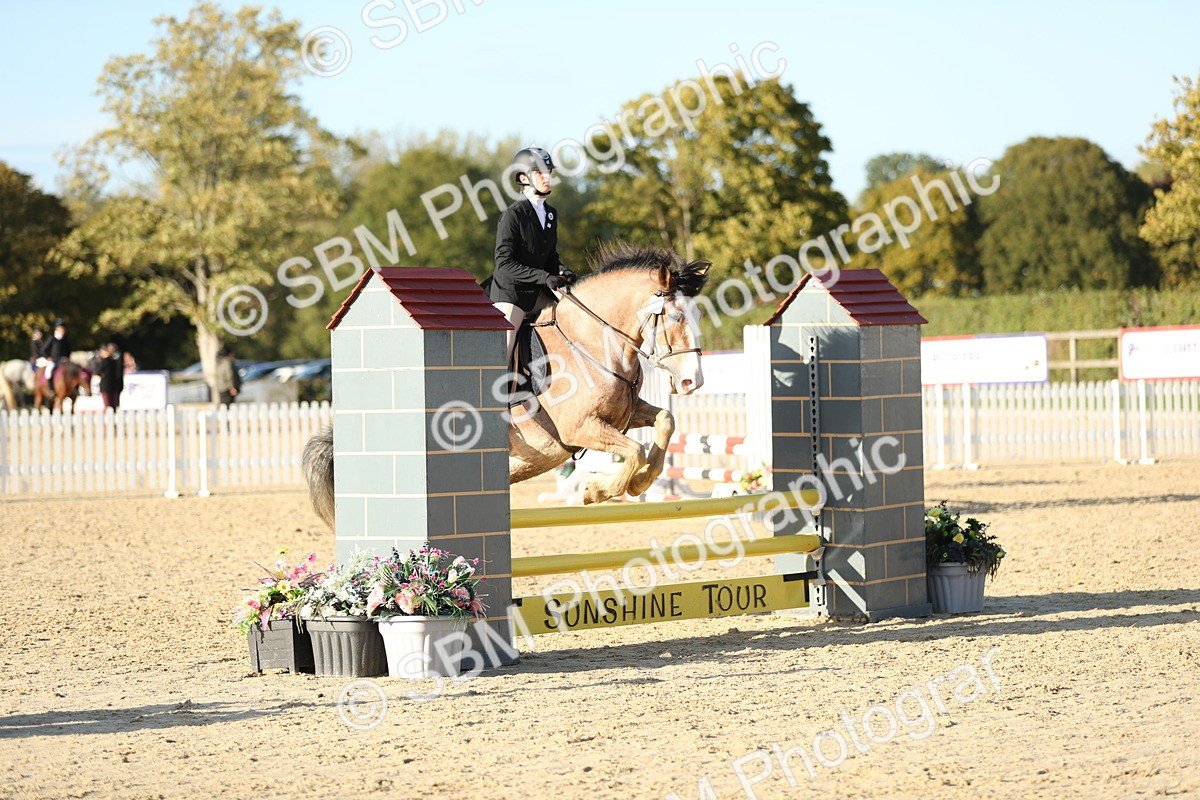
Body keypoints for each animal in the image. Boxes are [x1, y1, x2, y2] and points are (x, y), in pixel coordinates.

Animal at [303, 243, 712, 528]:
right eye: (675, 317)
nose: (692, 381)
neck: (591, 341)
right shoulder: (581, 427)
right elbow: (634, 450)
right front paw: (598, 491)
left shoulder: (626, 412)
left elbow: (664, 424)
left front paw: (640, 484)